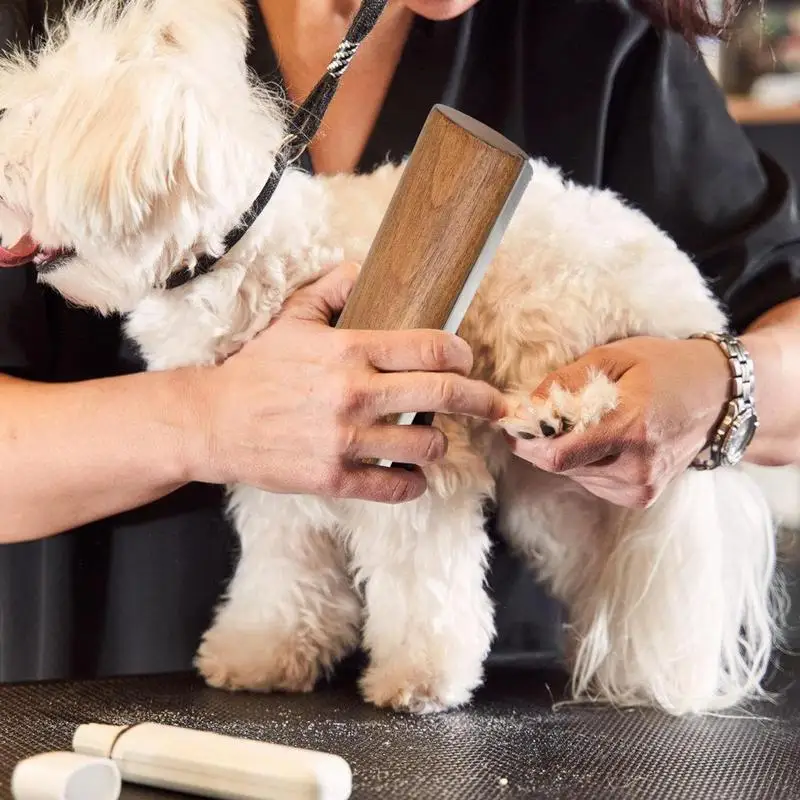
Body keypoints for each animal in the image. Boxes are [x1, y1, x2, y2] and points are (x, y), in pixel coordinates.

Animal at [0, 0, 788, 712]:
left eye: (32, 126)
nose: (1, 179)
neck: (247, 255)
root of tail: (694, 302)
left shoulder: (424, 460)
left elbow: (422, 579)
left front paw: (421, 677)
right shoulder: (276, 477)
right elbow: (281, 572)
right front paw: (262, 653)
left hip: (567, 326)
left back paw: (565, 415)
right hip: (554, 503)